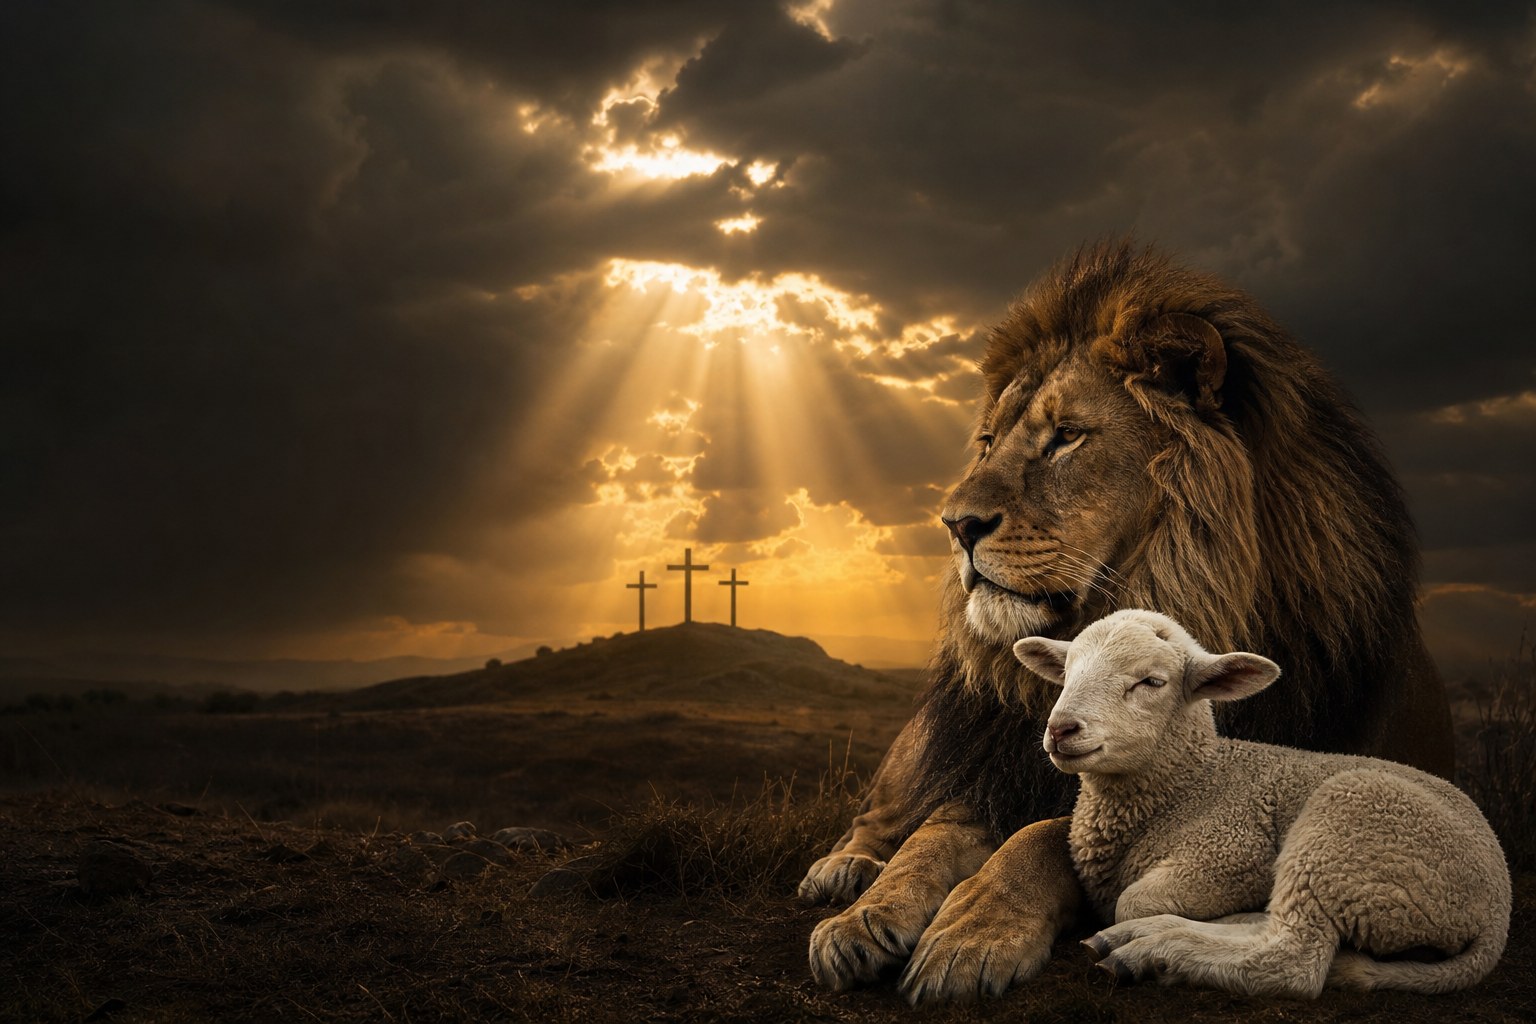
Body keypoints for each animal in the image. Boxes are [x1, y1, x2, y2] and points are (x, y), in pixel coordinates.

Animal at [802, 240, 1454, 1004]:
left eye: (1066, 437)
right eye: (988, 442)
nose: (954, 525)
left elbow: (1044, 836)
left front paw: (970, 930)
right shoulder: (994, 774)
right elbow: (926, 836)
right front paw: (866, 917)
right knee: (879, 816)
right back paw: (843, 872)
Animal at [1012, 609, 1510, 999]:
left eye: (1151, 681)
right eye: (1068, 672)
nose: (1061, 728)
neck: (1193, 784)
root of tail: (1497, 910)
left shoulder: (1232, 853)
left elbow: (1131, 901)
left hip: (1348, 836)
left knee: (1295, 960)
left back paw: (1153, 951)